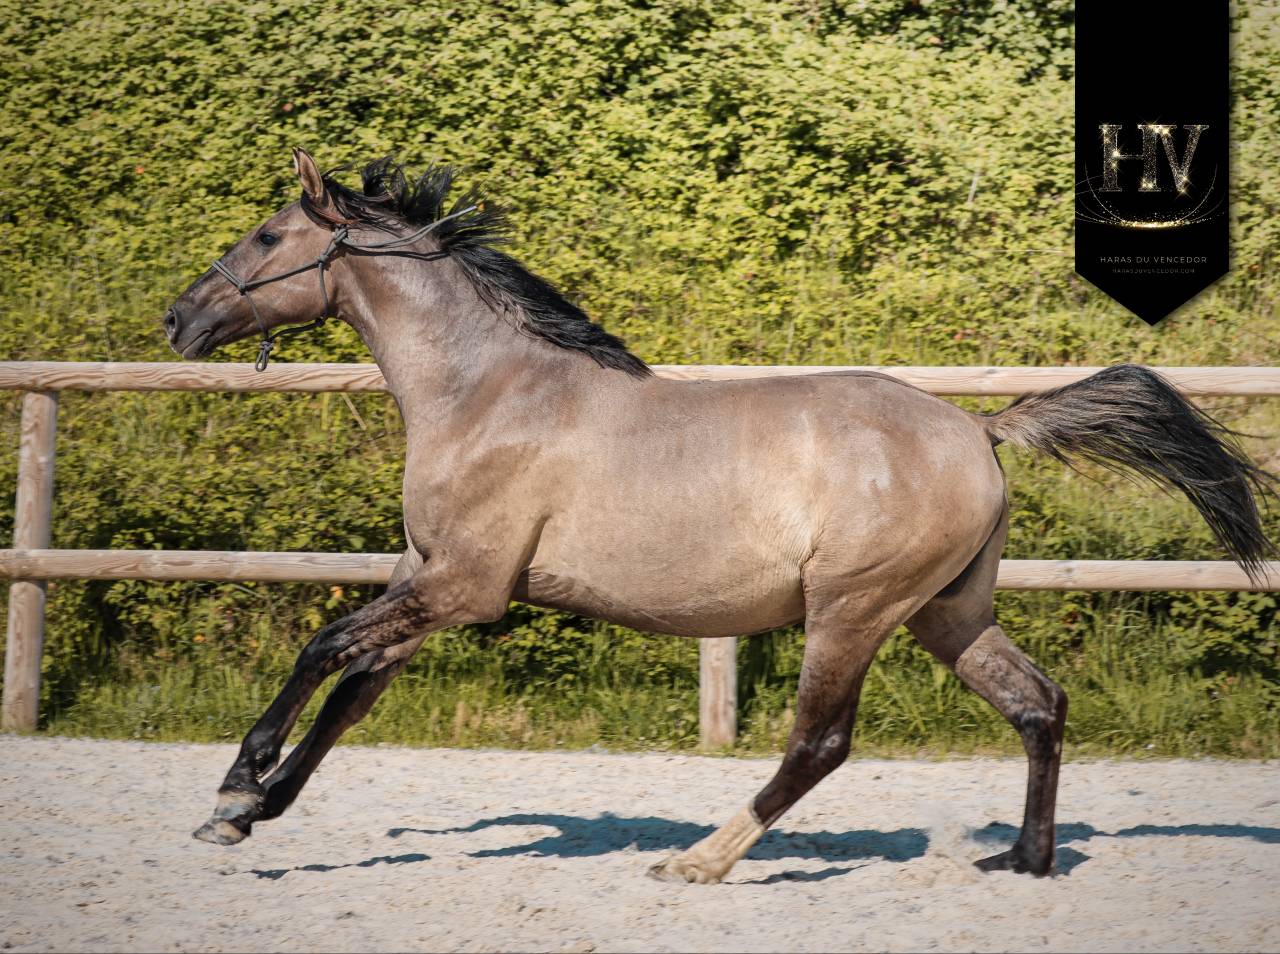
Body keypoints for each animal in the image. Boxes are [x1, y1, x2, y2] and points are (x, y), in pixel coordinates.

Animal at [165, 149, 1276, 883]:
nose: (180, 318)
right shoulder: (427, 579)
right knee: (1037, 703)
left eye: (267, 237)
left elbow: (322, 648)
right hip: (948, 612)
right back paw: (1023, 862)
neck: (485, 395)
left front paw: (235, 786)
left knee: (821, 744)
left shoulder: (466, 588)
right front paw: (250, 813)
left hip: (852, 610)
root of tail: (980, 430)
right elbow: (353, 692)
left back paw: (701, 859)